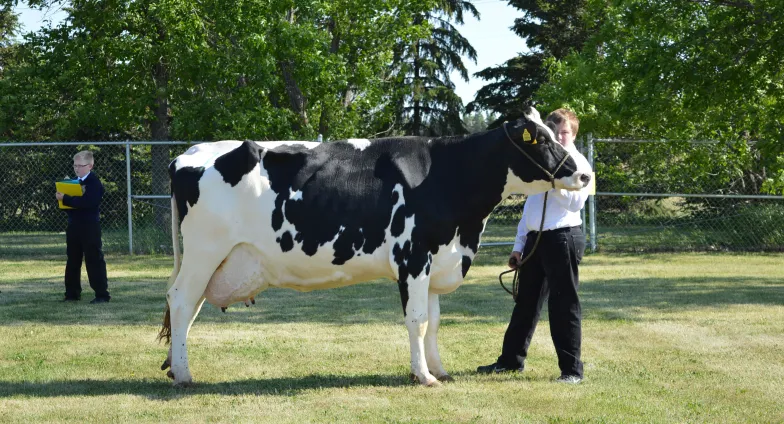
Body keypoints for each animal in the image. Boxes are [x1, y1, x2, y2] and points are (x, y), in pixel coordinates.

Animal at [158, 107, 588, 388]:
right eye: (541, 140)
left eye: (557, 134)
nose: (584, 175)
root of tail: (187, 153)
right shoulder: (412, 258)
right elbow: (417, 320)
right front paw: (423, 376)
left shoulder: (437, 260)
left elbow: (434, 322)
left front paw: (440, 370)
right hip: (204, 251)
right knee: (180, 301)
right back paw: (184, 374)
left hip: (211, 258)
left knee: (188, 308)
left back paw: (175, 366)